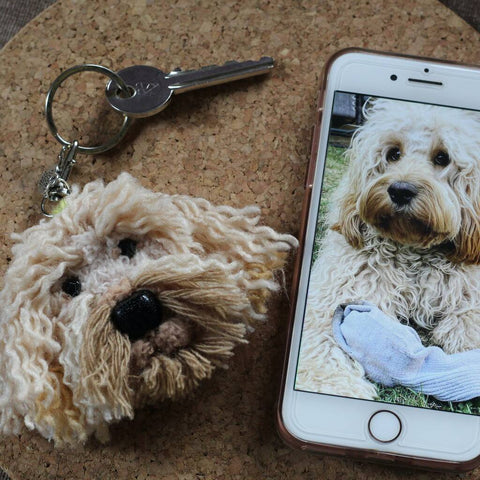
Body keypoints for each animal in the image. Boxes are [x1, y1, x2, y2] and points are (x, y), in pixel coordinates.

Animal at [298, 96, 480, 398]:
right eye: (393, 153)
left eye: (442, 157)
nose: (401, 190)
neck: (413, 250)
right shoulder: (343, 288)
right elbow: (322, 336)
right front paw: (335, 385)